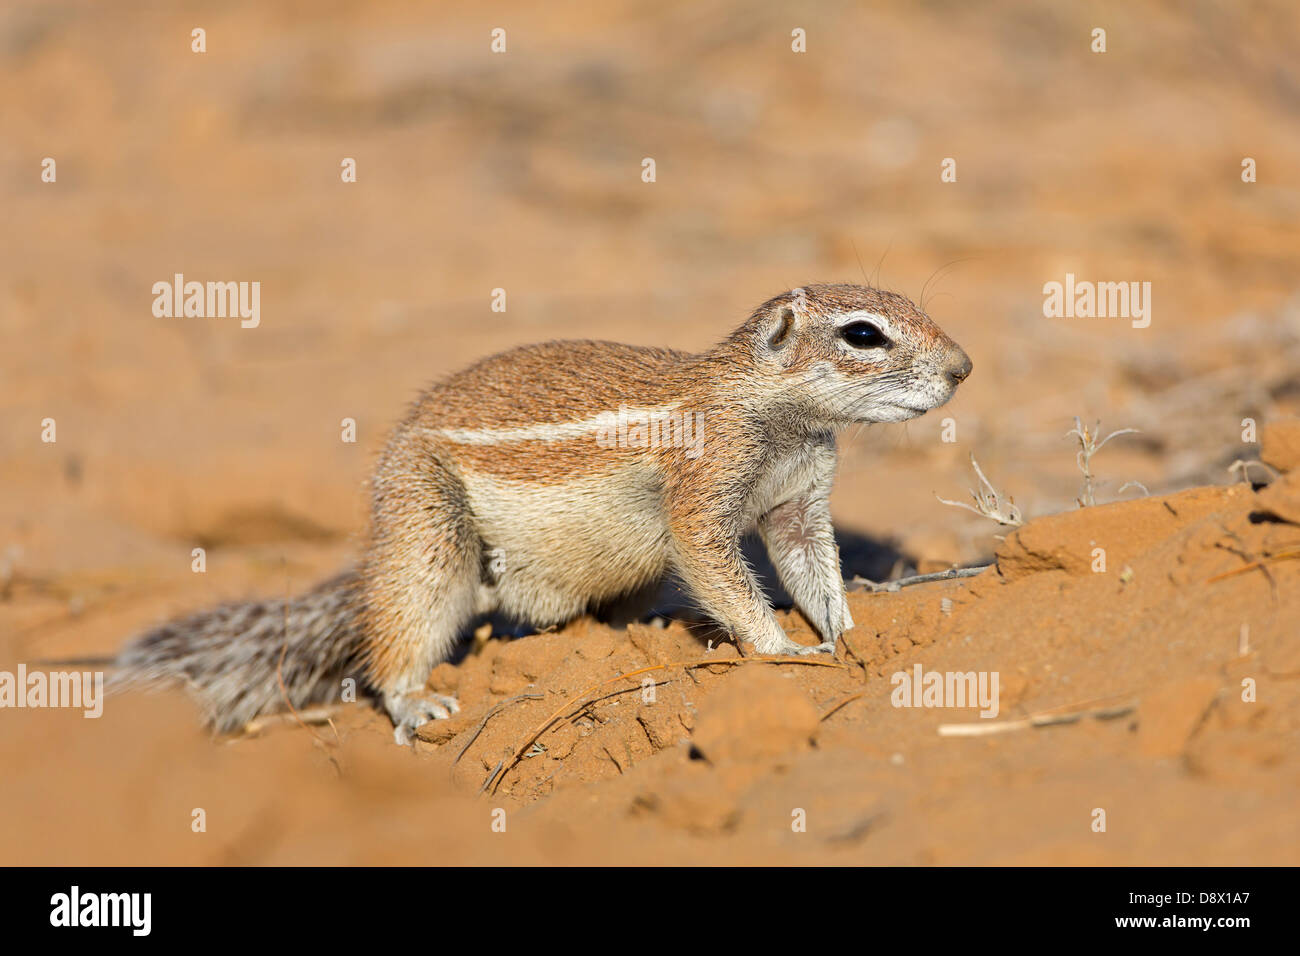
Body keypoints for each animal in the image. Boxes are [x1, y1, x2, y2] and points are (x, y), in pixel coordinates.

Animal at [111, 283, 972, 749]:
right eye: (864, 333)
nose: (964, 368)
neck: (774, 414)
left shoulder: (799, 501)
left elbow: (811, 567)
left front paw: (849, 633)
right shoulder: (703, 486)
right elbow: (718, 568)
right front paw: (782, 650)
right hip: (427, 527)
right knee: (402, 626)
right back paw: (415, 699)